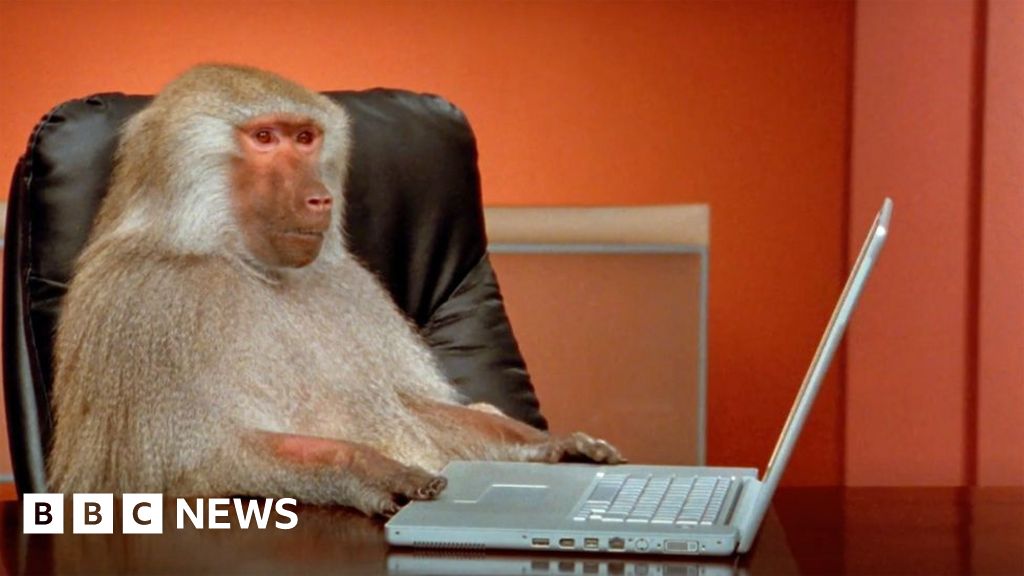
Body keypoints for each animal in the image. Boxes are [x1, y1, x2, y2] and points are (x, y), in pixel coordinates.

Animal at [48, 64, 623, 516]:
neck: (242, 260)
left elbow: (410, 404)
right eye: (265, 138)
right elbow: (195, 463)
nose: (319, 198)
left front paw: (549, 444)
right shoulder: (149, 307)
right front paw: (371, 467)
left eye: (306, 139)